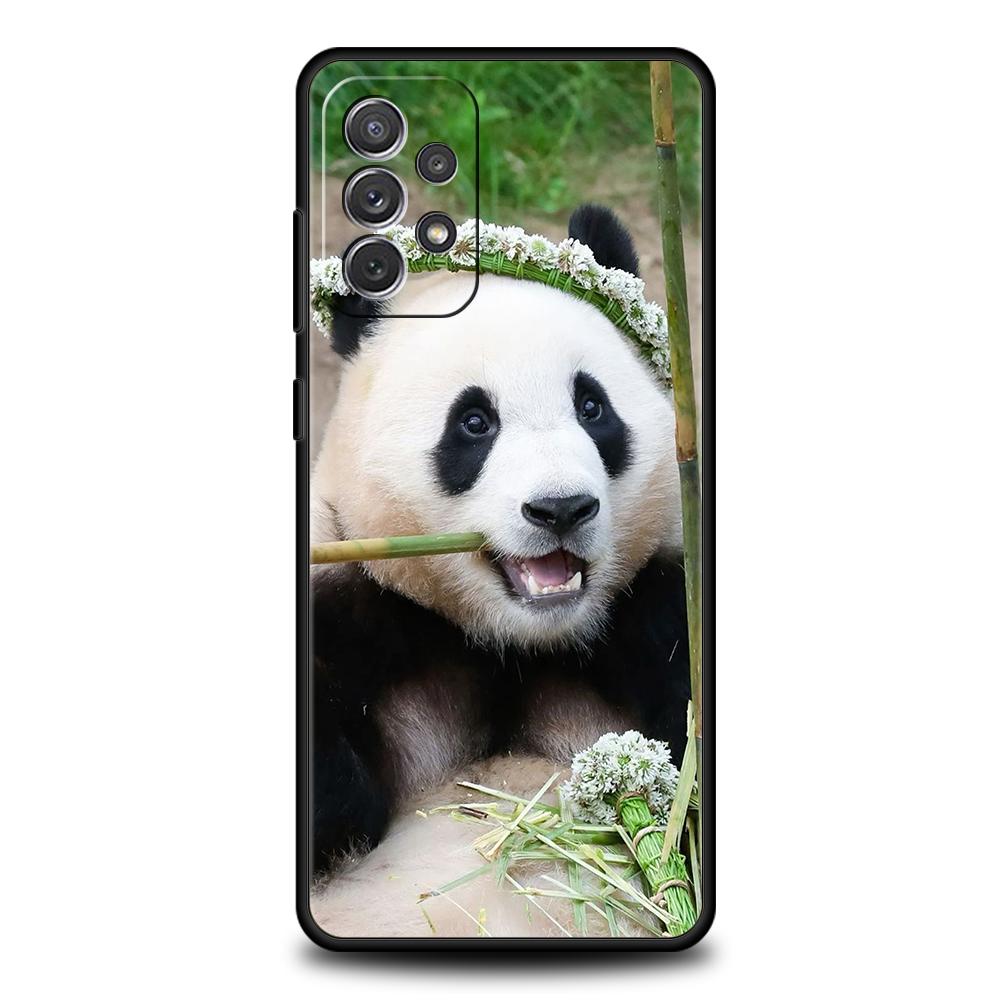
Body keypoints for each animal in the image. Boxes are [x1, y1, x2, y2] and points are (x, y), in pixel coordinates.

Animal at [309, 205, 691, 938]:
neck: (513, 645)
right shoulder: (353, 602)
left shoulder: (655, 608)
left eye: (592, 408)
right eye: (474, 422)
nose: (561, 508)